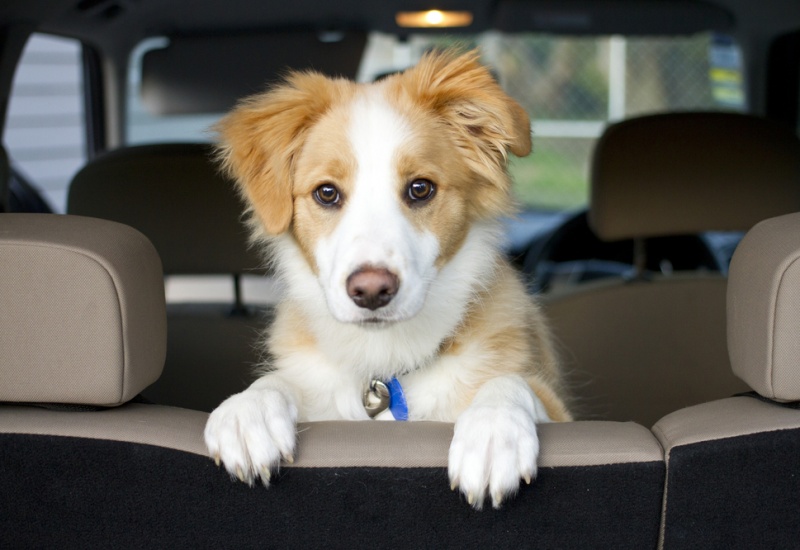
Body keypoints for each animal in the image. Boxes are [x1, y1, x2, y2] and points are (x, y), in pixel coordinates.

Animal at [204, 49, 572, 509]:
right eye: (327, 193)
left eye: (420, 188)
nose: (371, 291)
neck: (384, 364)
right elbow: (278, 382)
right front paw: (247, 411)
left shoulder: (558, 408)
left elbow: (511, 383)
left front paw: (492, 432)